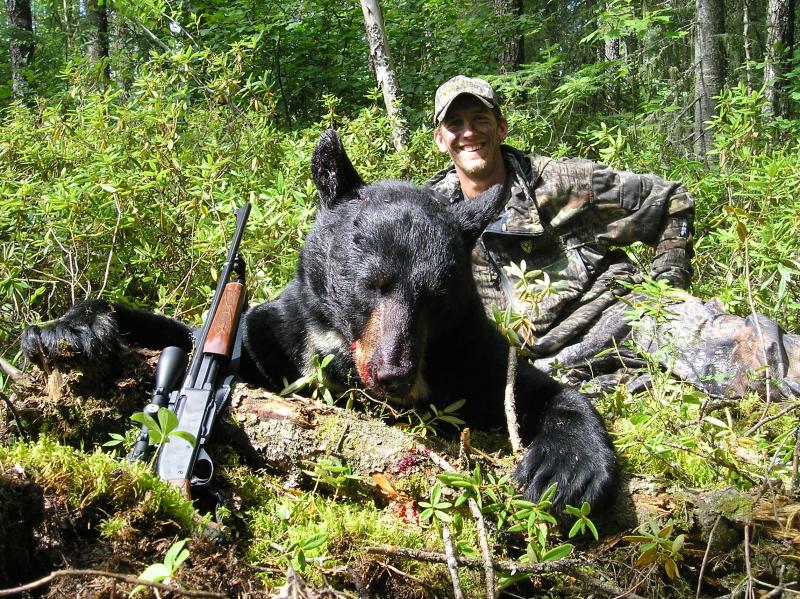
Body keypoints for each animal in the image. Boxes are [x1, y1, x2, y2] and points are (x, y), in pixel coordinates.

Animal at [21, 129, 616, 512]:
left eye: (436, 295)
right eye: (372, 282)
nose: (394, 374)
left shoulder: (464, 351)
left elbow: (539, 389)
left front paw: (566, 467)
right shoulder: (271, 335)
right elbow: (192, 339)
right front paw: (70, 328)